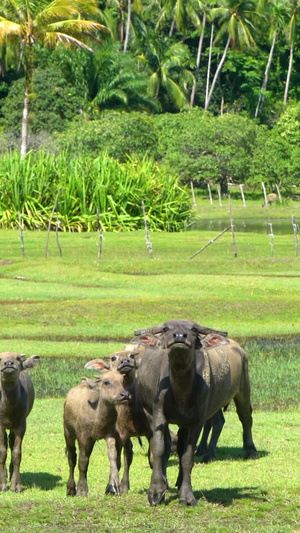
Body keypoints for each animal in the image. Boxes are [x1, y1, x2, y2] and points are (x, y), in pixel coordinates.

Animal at [63, 368, 131, 496]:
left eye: (123, 381)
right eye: (106, 382)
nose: (125, 395)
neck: (97, 417)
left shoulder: (109, 435)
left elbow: (113, 457)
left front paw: (114, 484)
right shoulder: (83, 437)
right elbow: (82, 461)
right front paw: (82, 489)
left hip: (92, 441)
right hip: (68, 433)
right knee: (72, 457)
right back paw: (71, 488)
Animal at [136, 318, 255, 504]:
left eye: (193, 330)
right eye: (165, 329)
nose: (179, 336)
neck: (181, 391)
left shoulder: (196, 421)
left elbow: (187, 457)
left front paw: (187, 496)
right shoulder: (158, 416)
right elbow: (159, 449)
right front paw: (156, 491)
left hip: (243, 387)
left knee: (245, 417)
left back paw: (249, 450)